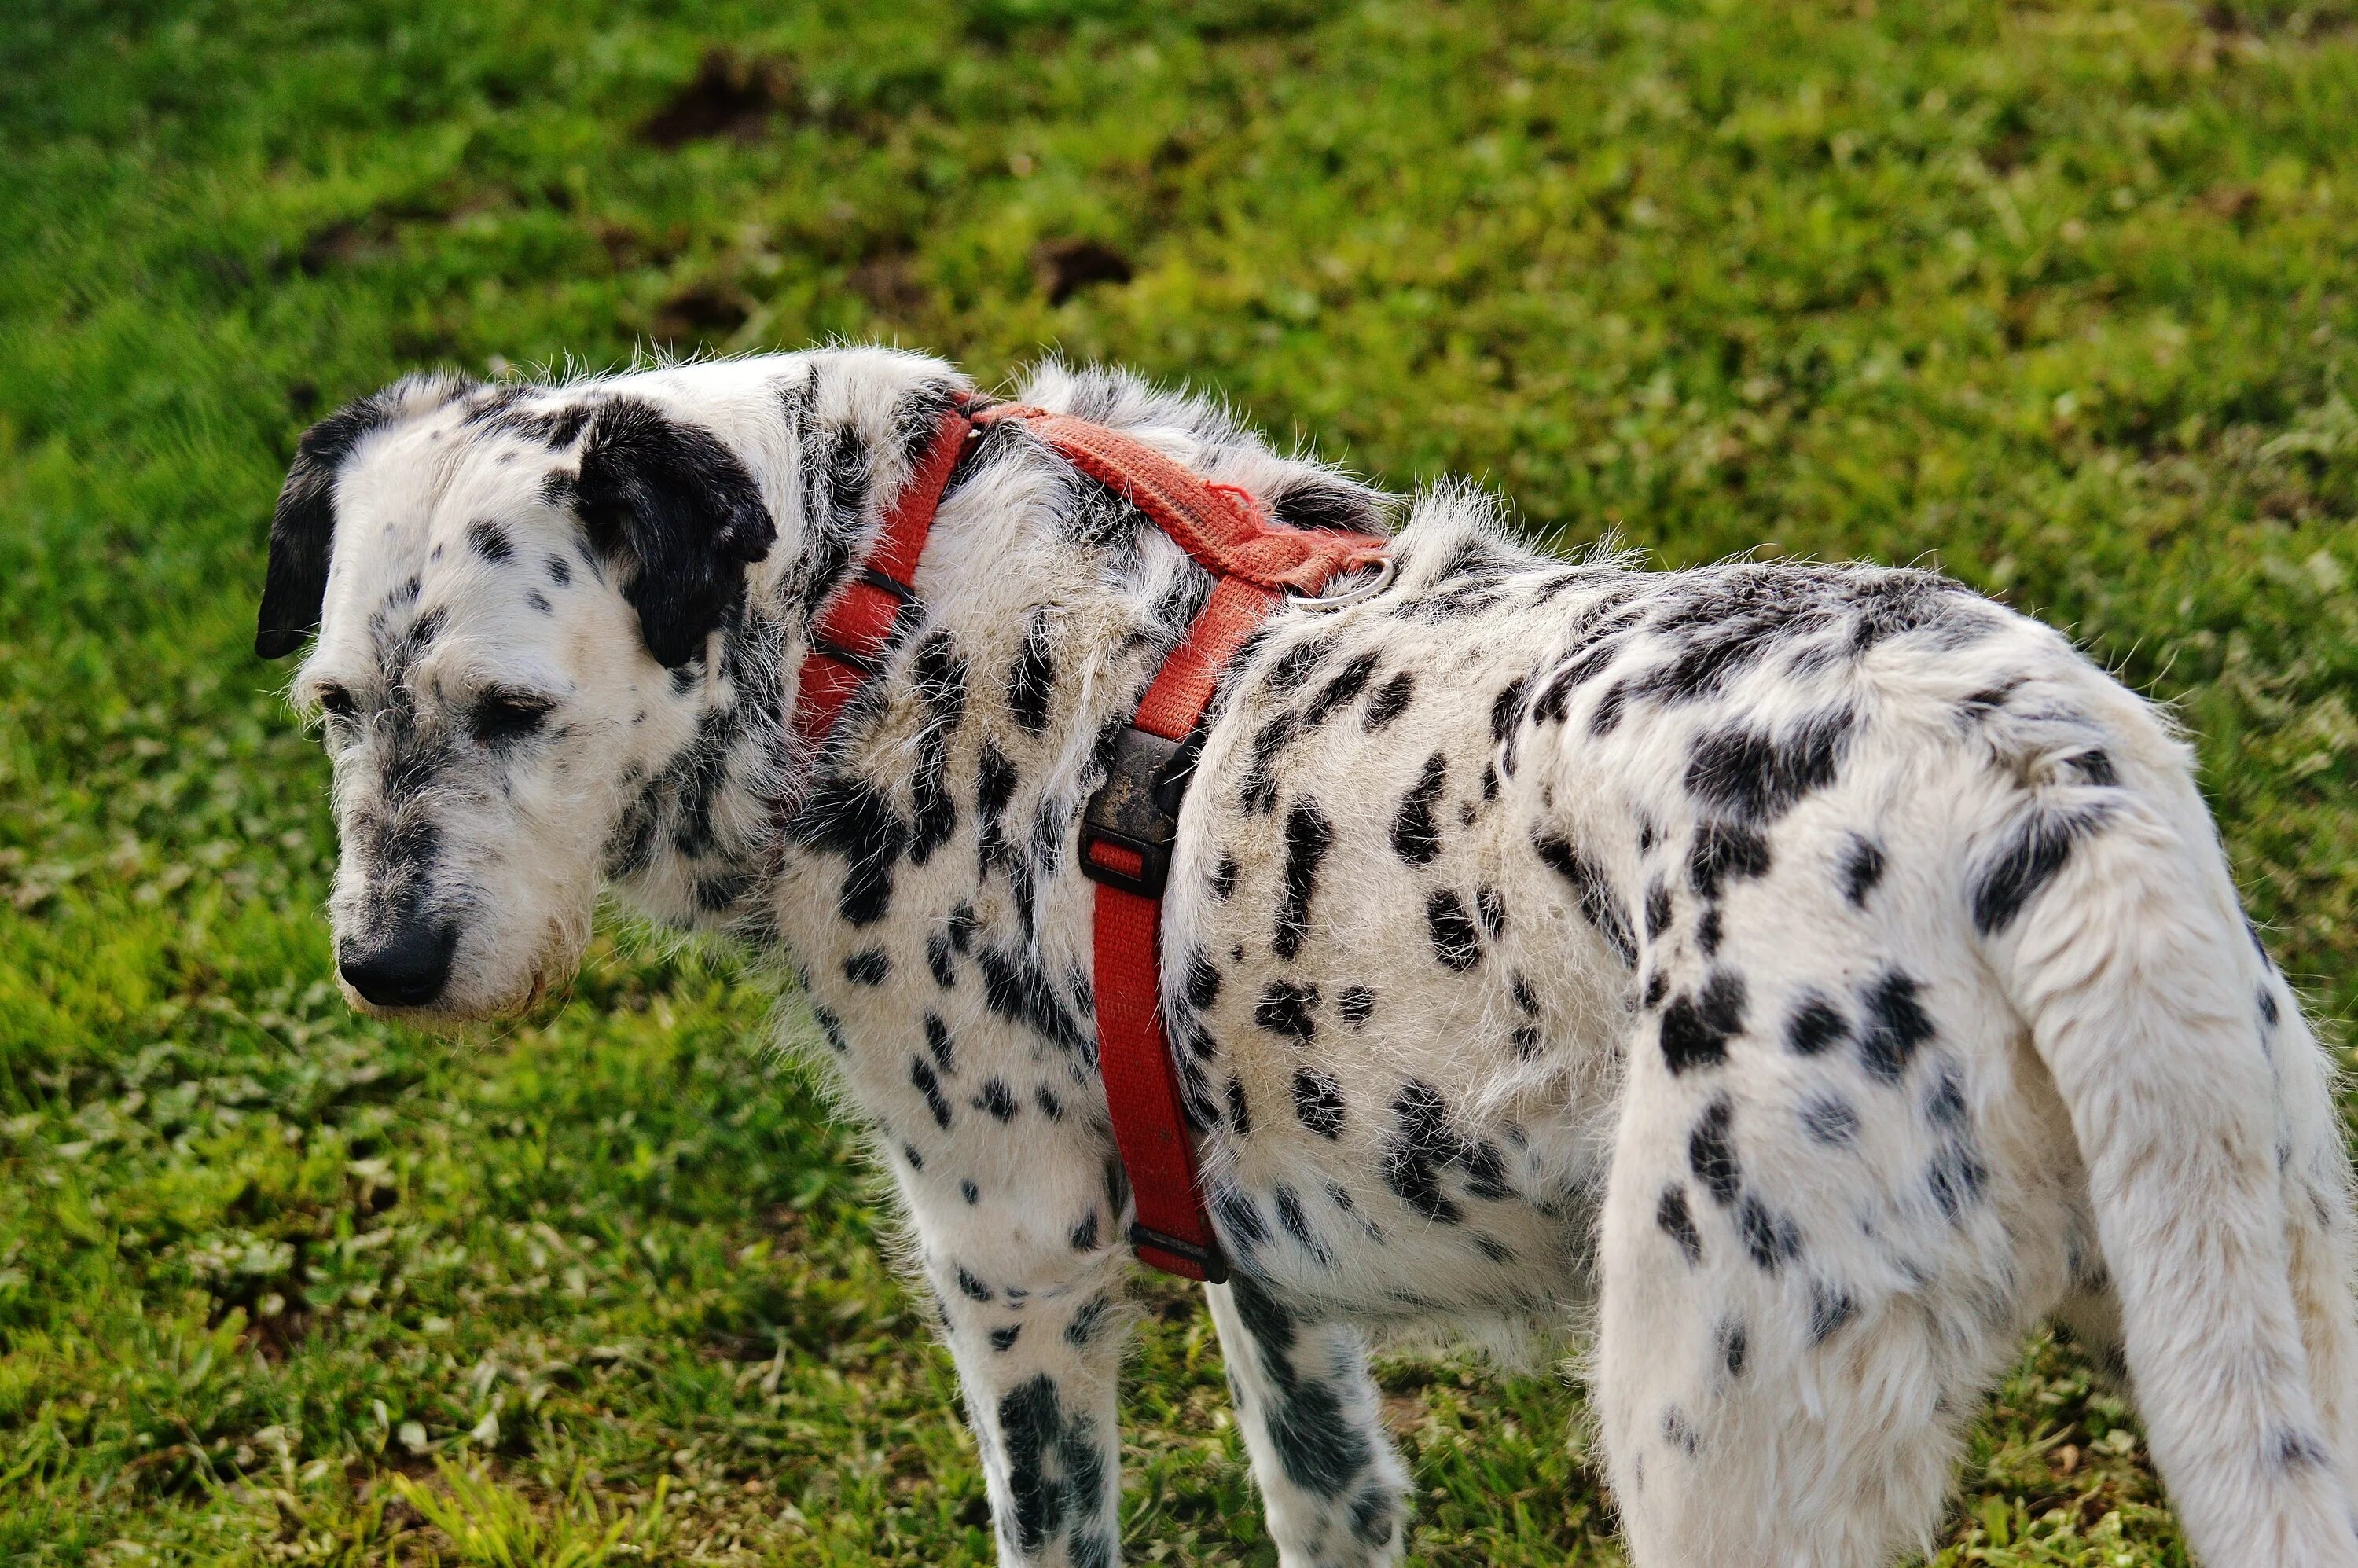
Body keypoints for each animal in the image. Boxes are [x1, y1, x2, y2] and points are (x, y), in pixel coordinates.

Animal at [253, 347, 2358, 1566]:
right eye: (334, 707)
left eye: (512, 711)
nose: (381, 964)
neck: (873, 591)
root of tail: (2032, 784)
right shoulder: (1267, 1277)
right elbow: (1326, 1494)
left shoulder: (1016, 1264)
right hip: (2258, 1332)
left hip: (1716, 1435)